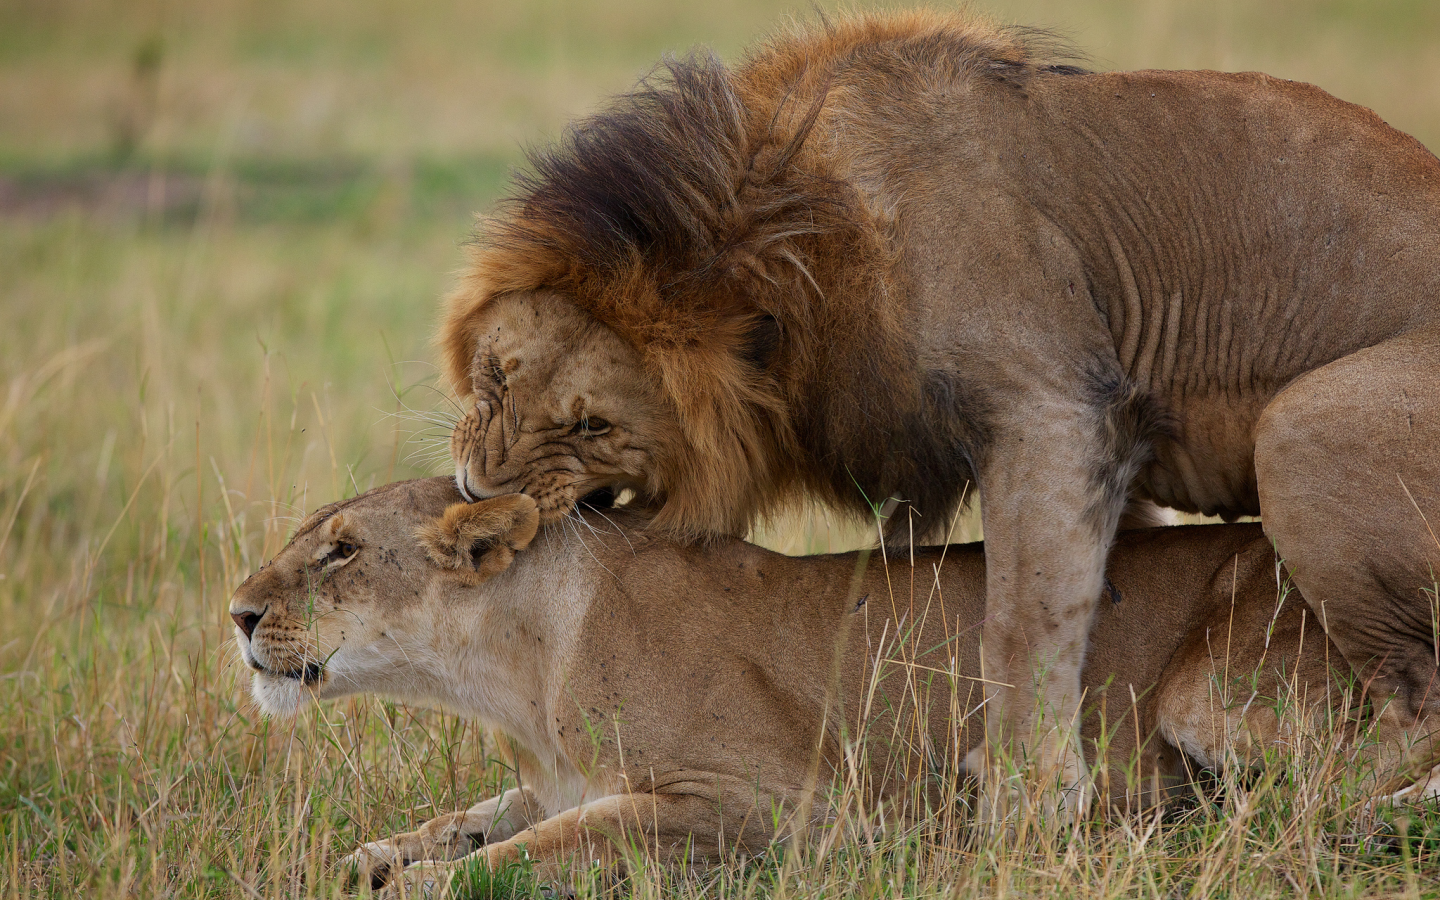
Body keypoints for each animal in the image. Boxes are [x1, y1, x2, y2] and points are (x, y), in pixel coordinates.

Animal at [230, 478, 1440, 892]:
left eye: (341, 550)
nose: (237, 614)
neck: (513, 671)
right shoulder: (555, 777)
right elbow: (477, 816)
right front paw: (366, 857)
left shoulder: (766, 804)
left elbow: (542, 849)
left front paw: (418, 887)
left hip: (1218, 689)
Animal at [434, 7, 1440, 806]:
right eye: (494, 377)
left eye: (592, 426)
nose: (476, 491)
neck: (805, 237)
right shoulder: (989, 460)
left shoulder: (1057, 408)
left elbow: (1022, 623)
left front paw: (1029, 809)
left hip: (1300, 429)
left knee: (1415, 695)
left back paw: (1332, 801)